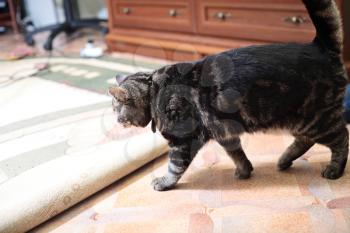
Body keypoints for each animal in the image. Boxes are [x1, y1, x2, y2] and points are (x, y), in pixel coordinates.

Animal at [108, 0, 348, 192]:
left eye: (114, 109)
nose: (117, 120)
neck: (154, 89)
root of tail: (320, 47)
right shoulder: (225, 132)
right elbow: (237, 154)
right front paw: (245, 171)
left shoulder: (183, 141)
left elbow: (174, 167)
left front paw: (164, 182)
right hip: (299, 122)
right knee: (306, 140)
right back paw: (284, 160)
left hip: (317, 120)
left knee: (342, 137)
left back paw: (334, 169)